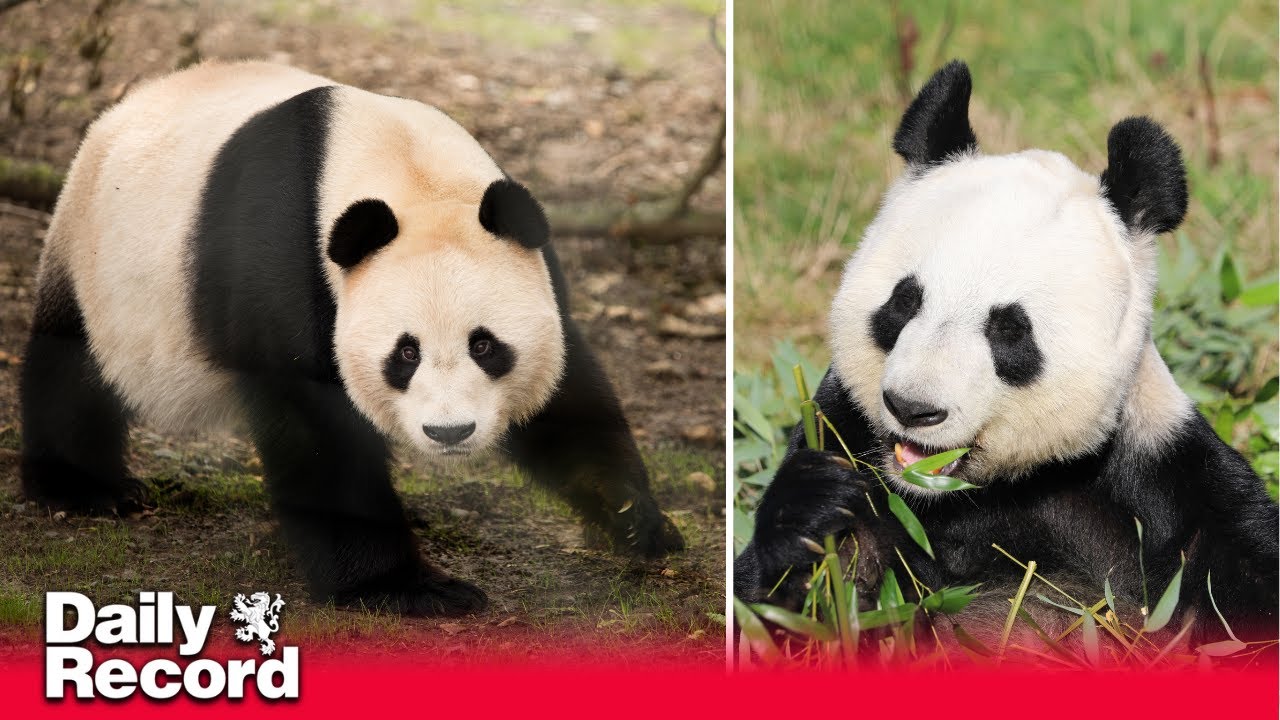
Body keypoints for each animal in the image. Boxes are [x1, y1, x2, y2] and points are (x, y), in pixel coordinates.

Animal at [21, 60, 684, 616]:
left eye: (486, 346)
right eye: (405, 353)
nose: (450, 433)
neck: (404, 168)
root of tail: (121, 109)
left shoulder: (534, 264)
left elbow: (567, 393)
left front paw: (634, 517)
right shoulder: (284, 265)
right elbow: (316, 429)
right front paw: (405, 588)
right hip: (96, 257)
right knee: (70, 368)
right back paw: (84, 489)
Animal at [735, 61, 1278, 648]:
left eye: (1009, 330)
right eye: (904, 301)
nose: (912, 408)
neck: (970, 493)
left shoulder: (1166, 479)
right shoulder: (849, 434)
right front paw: (817, 514)